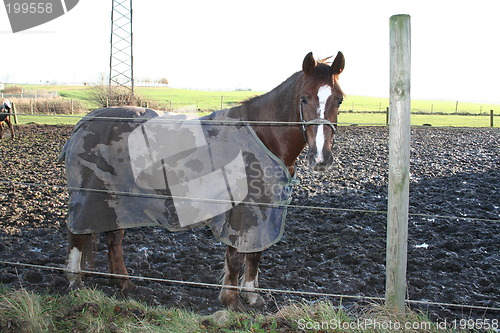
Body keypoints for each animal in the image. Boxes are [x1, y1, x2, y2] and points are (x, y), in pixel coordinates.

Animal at [60, 50, 346, 310]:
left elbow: (255, 254)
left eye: (340, 99)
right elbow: (236, 257)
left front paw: (252, 296)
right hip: (90, 196)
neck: (263, 135)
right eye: (304, 98)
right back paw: (74, 283)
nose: (321, 158)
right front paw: (231, 300)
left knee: (113, 240)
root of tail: (85, 122)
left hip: (117, 201)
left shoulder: (263, 212)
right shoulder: (242, 212)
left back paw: (124, 284)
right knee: (76, 234)